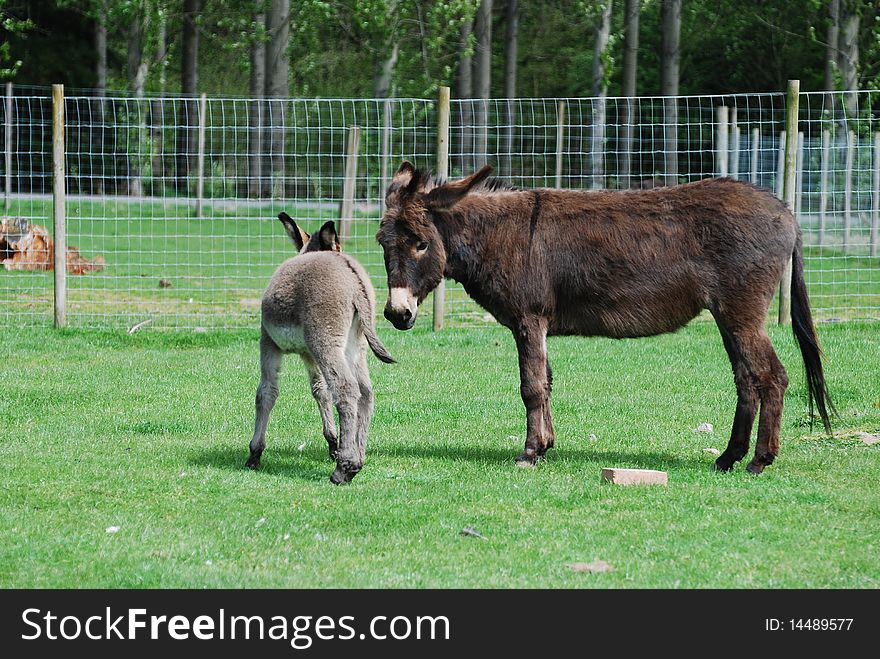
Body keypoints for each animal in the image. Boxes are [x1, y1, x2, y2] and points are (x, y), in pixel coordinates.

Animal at [249, 214, 398, 482]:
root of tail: (353, 279)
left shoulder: (269, 343)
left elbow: (266, 393)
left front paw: (255, 454)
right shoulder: (308, 354)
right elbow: (321, 390)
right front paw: (332, 443)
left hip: (326, 342)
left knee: (347, 388)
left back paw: (344, 468)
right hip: (355, 346)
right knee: (365, 392)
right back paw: (357, 458)